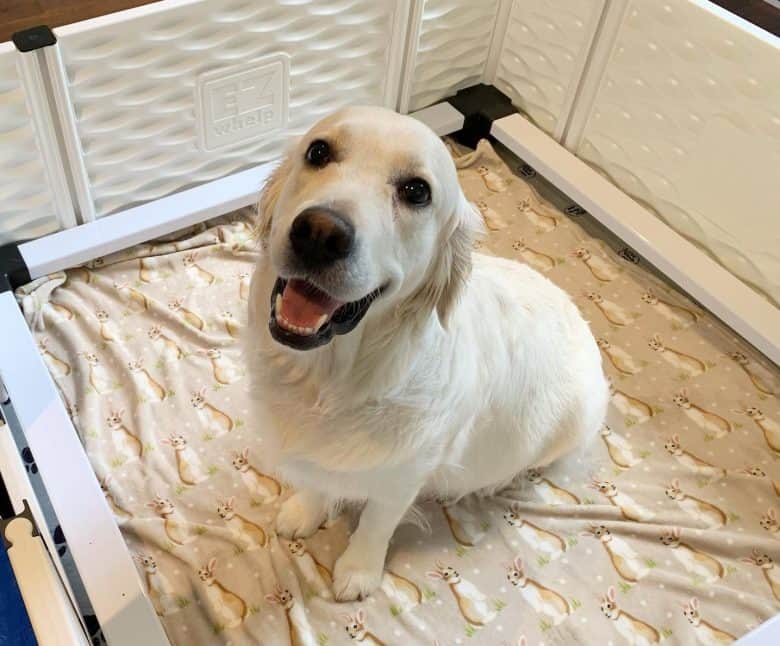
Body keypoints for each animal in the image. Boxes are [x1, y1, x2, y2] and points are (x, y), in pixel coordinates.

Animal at [250, 106, 608, 604]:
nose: (319, 234)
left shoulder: (404, 475)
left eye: (416, 191)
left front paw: (358, 571)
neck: (330, 381)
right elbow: (319, 481)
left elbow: (376, 523)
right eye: (318, 151)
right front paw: (306, 510)